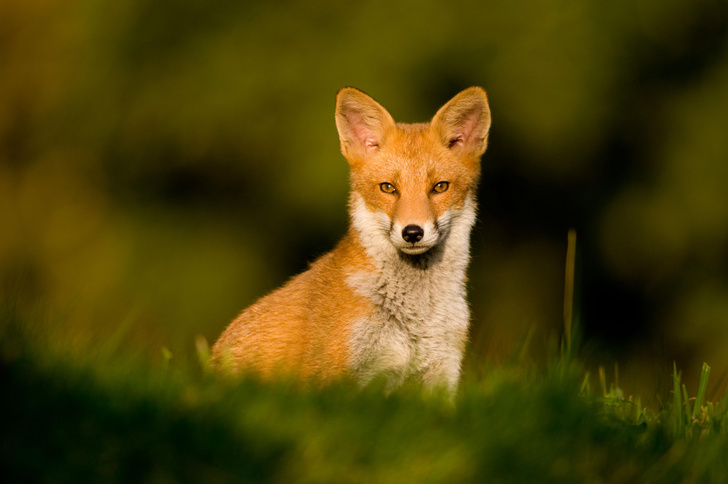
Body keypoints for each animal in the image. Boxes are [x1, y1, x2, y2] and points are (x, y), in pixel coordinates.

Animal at [212, 86, 494, 394]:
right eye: (388, 188)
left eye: (440, 187)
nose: (412, 232)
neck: (415, 318)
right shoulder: (344, 380)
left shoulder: (441, 376)